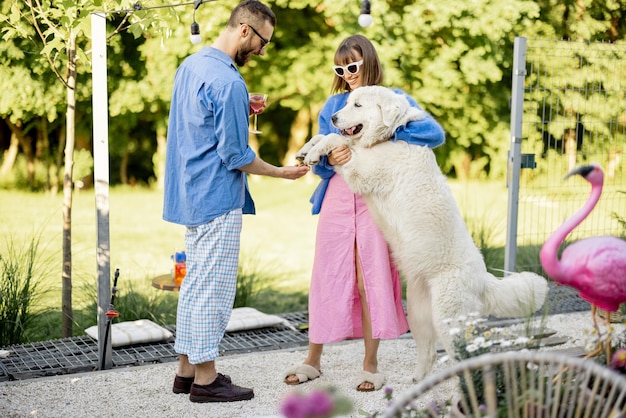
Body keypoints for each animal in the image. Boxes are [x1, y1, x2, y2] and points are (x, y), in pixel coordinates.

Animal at [294, 85, 544, 382]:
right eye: (347, 102)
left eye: (357, 105)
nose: (333, 117)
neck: (388, 137)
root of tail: (484, 279)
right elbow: (327, 136)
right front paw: (306, 149)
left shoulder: (362, 170)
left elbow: (335, 139)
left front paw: (315, 152)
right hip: (419, 315)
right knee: (429, 353)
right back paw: (418, 381)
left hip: (449, 320)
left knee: (467, 356)